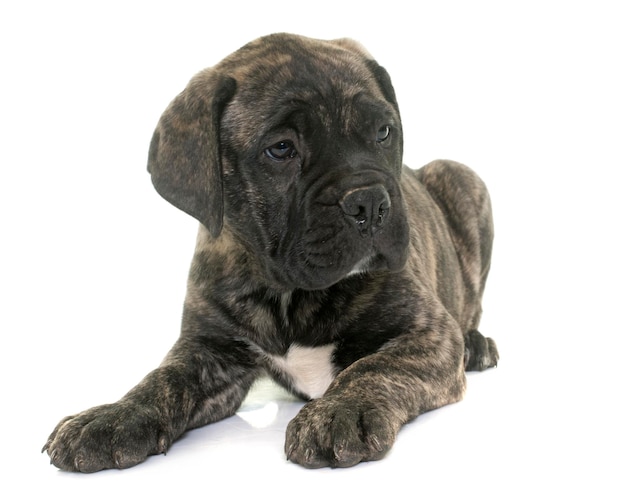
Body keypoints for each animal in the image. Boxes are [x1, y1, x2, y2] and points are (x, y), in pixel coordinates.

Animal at [42, 33, 498, 472]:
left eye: (384, 132)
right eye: (280, 149)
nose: (369, 201)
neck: (288, 294)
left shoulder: (428, 333)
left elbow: (373, 368)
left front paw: (336, 413)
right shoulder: (209, 350)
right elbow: (162, 380)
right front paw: (111, 417)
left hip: (461, 177)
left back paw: (476, 345)